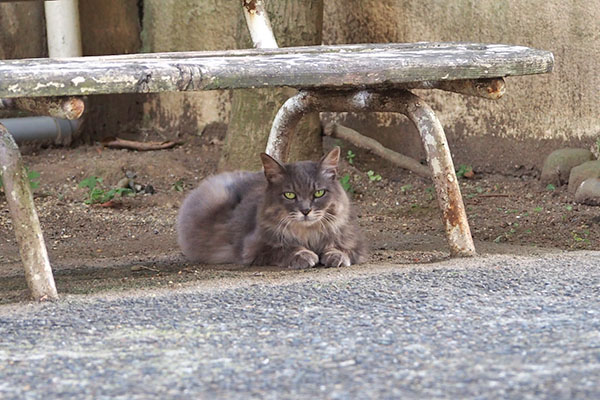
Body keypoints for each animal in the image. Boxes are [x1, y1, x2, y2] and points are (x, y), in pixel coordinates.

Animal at [176, 147, 368, 268]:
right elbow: (284, 249)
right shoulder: (254, 248)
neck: (308, 235)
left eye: (319, 193)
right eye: (289, 195)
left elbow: (340, 248)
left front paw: (335, 256)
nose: (305, 210)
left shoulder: (354, 243)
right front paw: (303, 255)